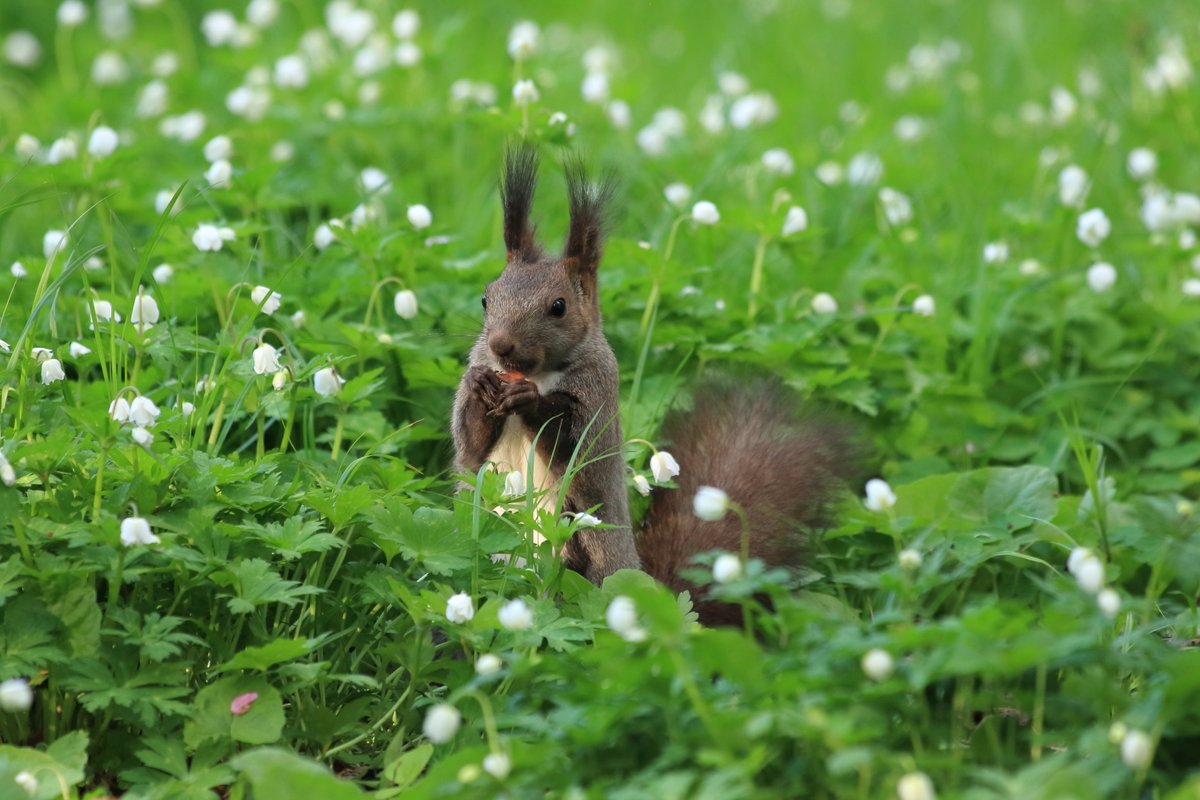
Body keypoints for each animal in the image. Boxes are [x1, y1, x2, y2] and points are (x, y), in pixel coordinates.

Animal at [452, 145, 859, 621]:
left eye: (558, 306)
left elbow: (575, 447)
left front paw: (529, 400)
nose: (500, 346)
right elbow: (470, 447)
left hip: (577, 550)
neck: (539, 371)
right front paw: (481, 389)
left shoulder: (599, 396)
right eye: (486, 298)